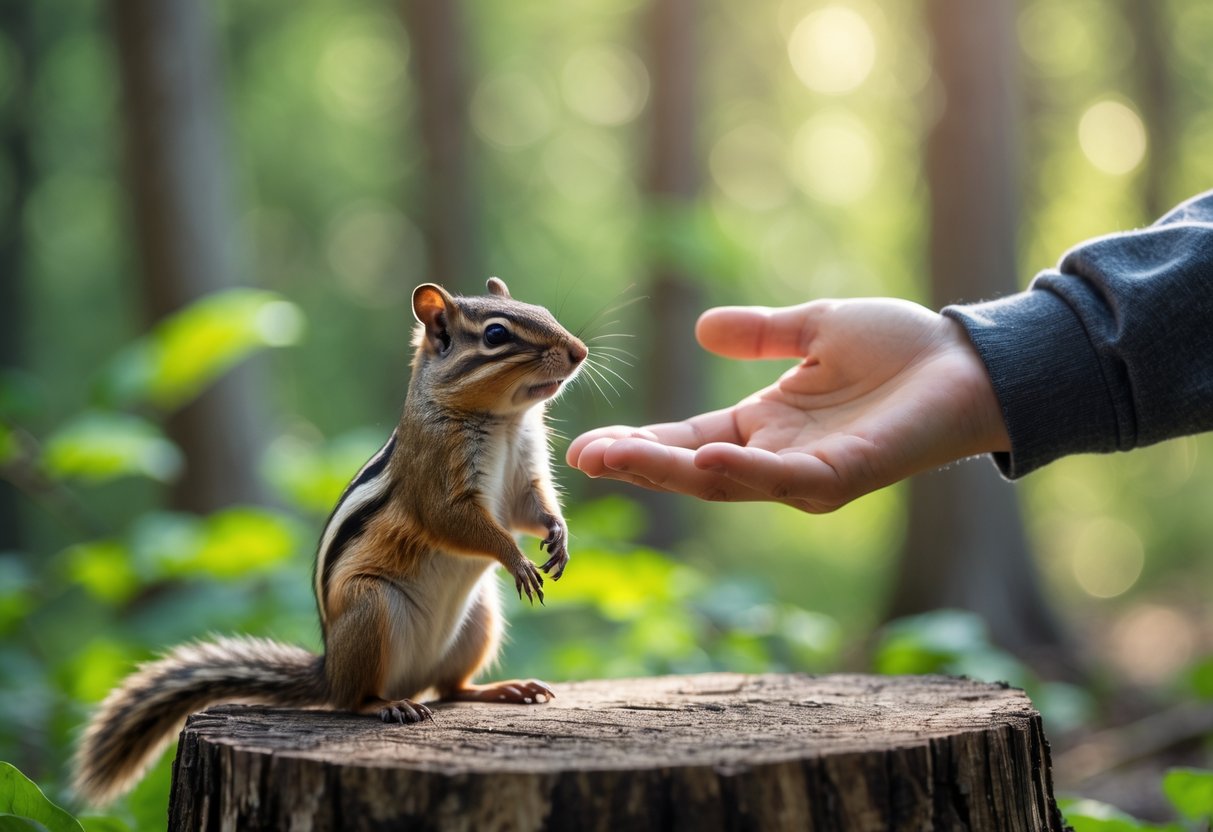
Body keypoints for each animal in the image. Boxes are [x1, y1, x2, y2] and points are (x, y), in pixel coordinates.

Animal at [72, 277, 588, 805]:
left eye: (540, 308)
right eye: (496, 334)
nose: (580, 351)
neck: (505, 420)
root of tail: (331, 668)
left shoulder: (525, 473)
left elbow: (534, 508)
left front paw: (559, 537)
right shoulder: (437, 479)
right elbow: (456, 521)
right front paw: (517, 559)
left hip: (479, 621)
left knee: (450, 689)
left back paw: (501, 690)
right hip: (371, 608)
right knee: (354, 701)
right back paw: (389, 706)